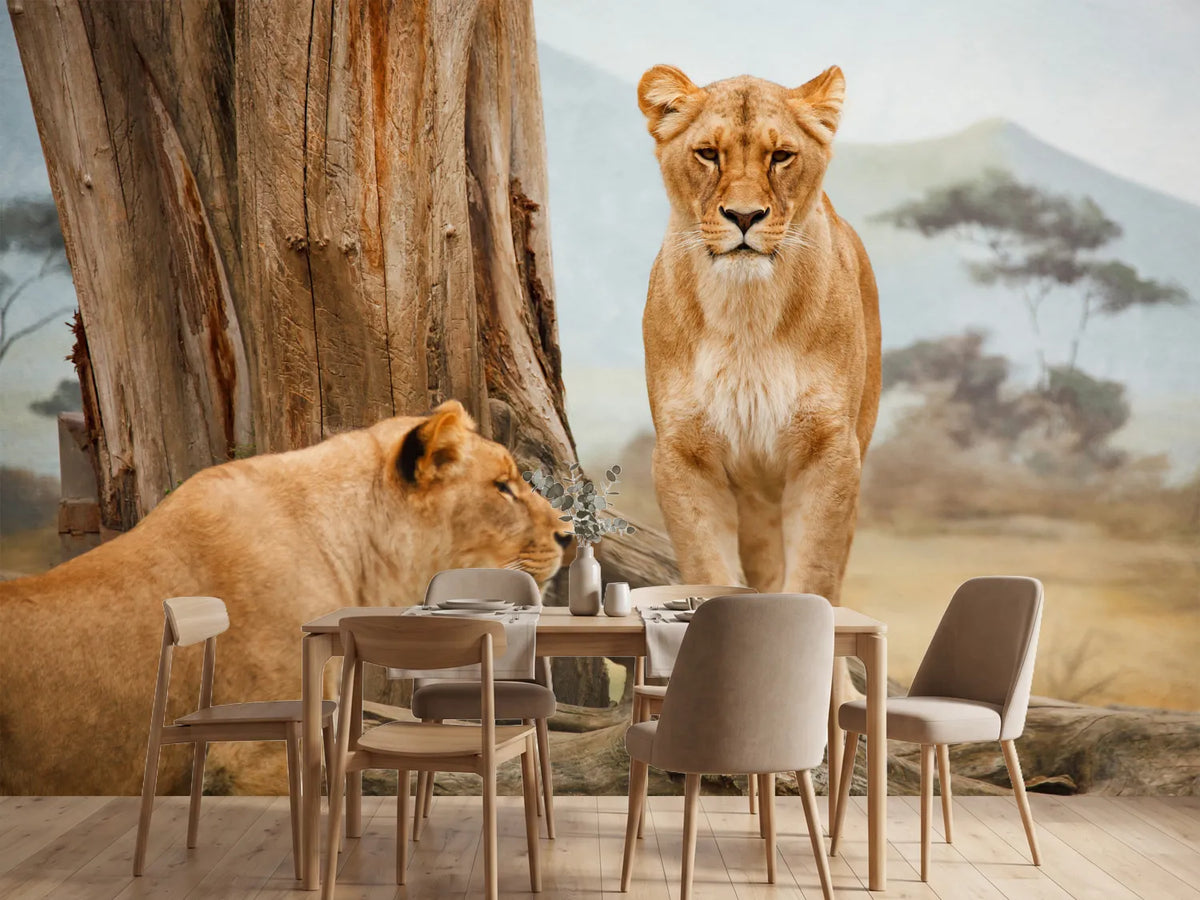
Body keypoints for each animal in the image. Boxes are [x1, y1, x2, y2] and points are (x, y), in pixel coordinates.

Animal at [637, 64, 881, 604]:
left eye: (781, 155)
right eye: (708, 153)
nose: (745, 216)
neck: (745, 313)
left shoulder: (830, 450)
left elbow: (815, 576)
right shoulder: (682, 454)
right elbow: (708, 569)